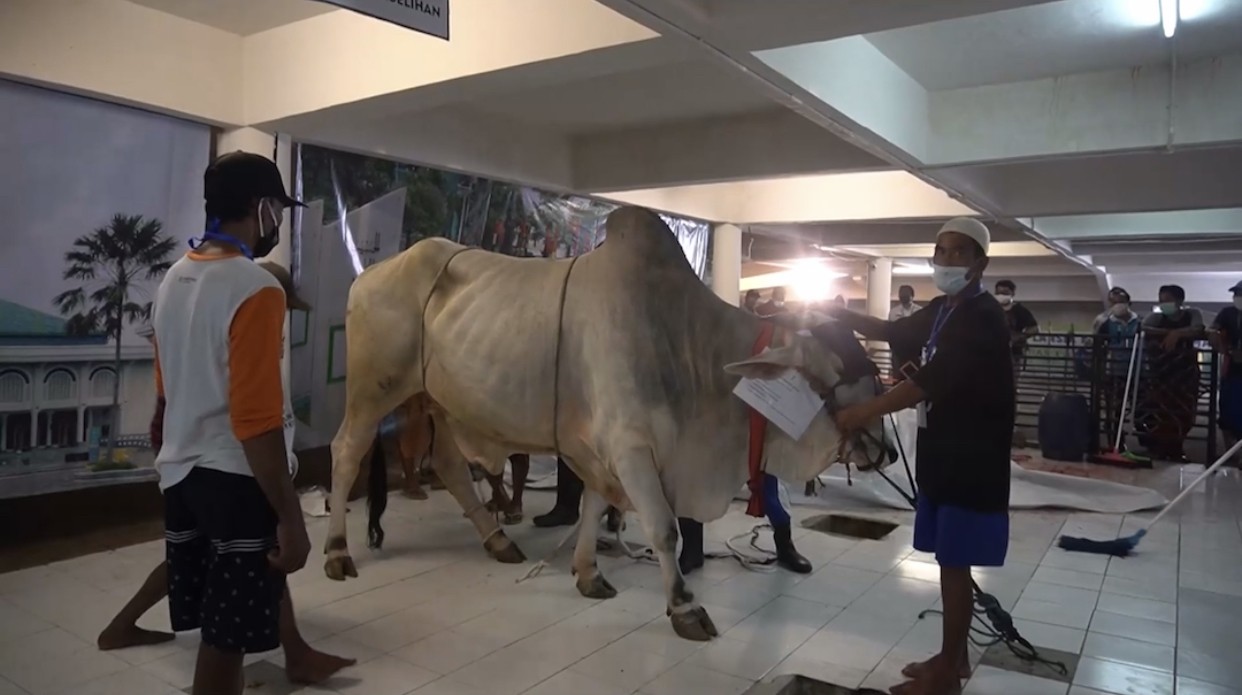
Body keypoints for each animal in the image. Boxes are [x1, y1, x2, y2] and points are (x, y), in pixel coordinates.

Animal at [320, 206, 884, 640]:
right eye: (832, 373)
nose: (885, 449)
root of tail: (370, 273)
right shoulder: (630, 448)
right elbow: (664, 529)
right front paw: (685, 607)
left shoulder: (600, 448)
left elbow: (593, 506)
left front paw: (588, 572)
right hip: (372, 390)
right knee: (345, 452)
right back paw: (337, 552)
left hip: (439, 400)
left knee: (450, 466)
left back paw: (498, 540)